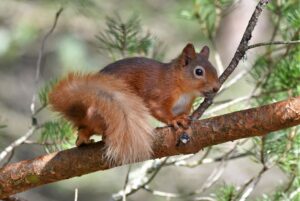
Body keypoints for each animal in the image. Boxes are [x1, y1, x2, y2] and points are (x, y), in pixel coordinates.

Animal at [48, 43, 219, 165]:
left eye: (215, 70)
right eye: (198, 72)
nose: (216, 88)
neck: (184, 90)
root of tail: (85, 113)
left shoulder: (183, 105)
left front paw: (186, 116)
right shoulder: (159, 93)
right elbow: (159, 110)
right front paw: (175, 120)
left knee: (84, 130)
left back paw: (83, 139)